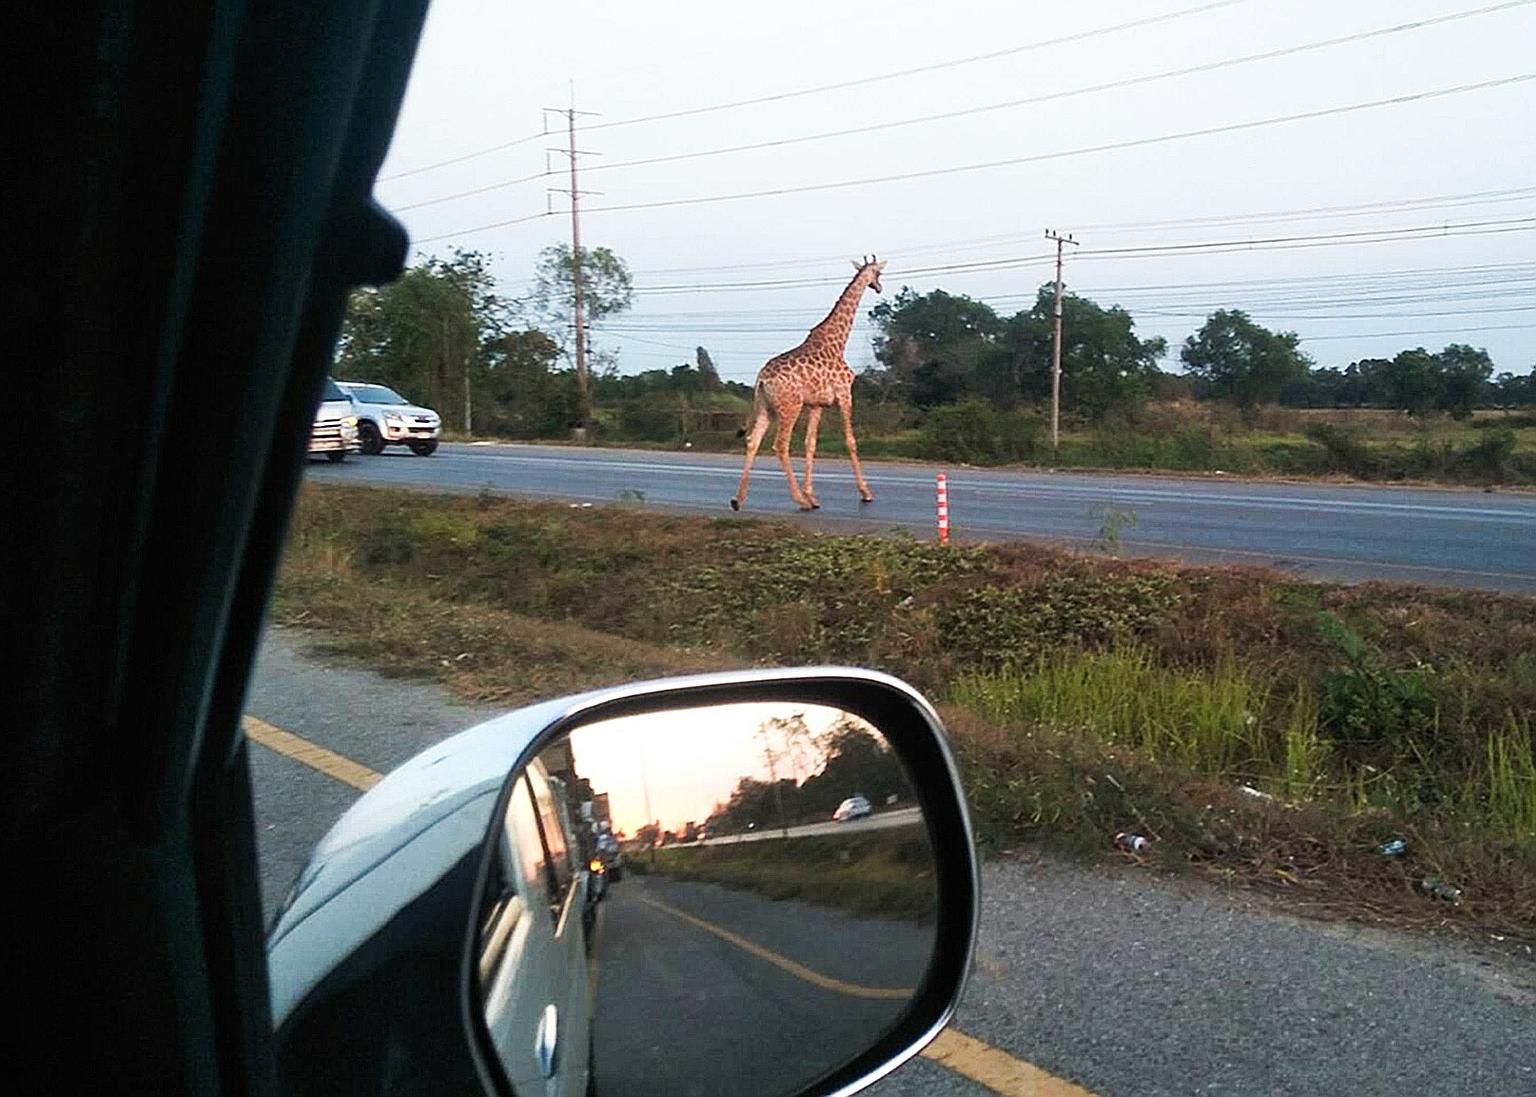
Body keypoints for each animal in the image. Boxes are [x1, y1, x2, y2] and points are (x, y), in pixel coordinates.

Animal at [730, 255, 885, 512]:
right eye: (878, 274)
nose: (879, 287)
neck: (838, 342)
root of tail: (762, 379)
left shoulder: (816, 404)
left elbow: (810, 443)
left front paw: (812, 495)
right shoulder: (845, 394)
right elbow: (851, 441)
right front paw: (865, 493)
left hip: (765, 407)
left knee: (753, 440)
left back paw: (737, 499)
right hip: (790, 407)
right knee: (780, 445)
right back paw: (799, 500)